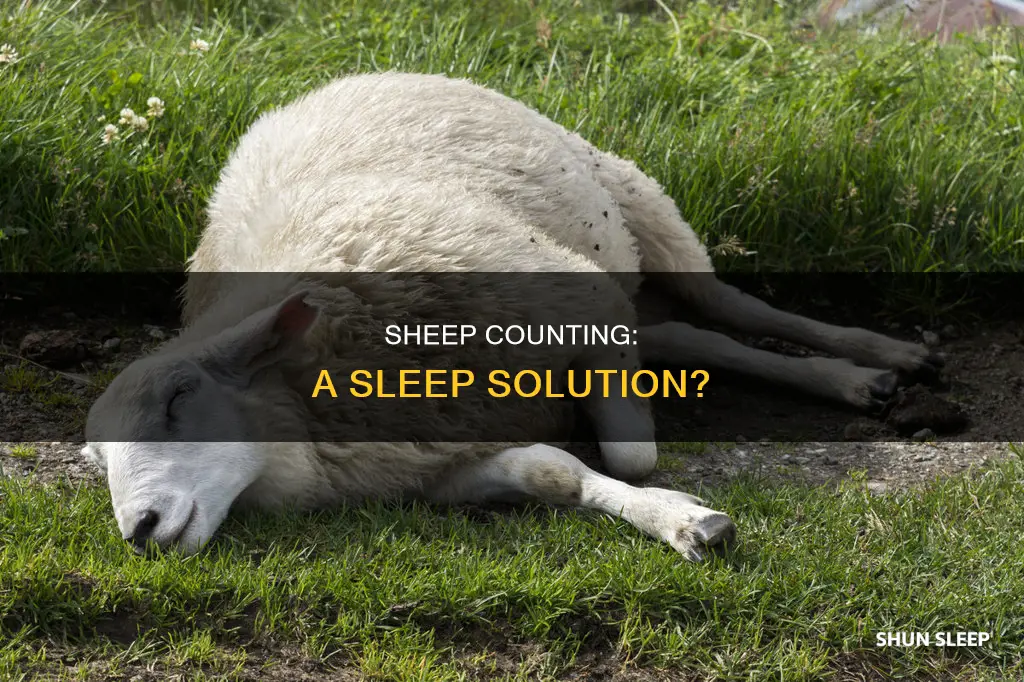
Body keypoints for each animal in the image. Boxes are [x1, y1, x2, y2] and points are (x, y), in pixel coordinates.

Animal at [81, 72, 942, 561]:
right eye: (98, 461)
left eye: (179, 400)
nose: (140, 532)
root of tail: (347, 76)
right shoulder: (438, 463)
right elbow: (554, 472)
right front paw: (680, 522)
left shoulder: (581, 302)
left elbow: (631, 455)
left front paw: (664, 494)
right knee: (681, 331)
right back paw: (858, 382)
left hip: (638, 203)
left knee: (728, 305)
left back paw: (876, 359)